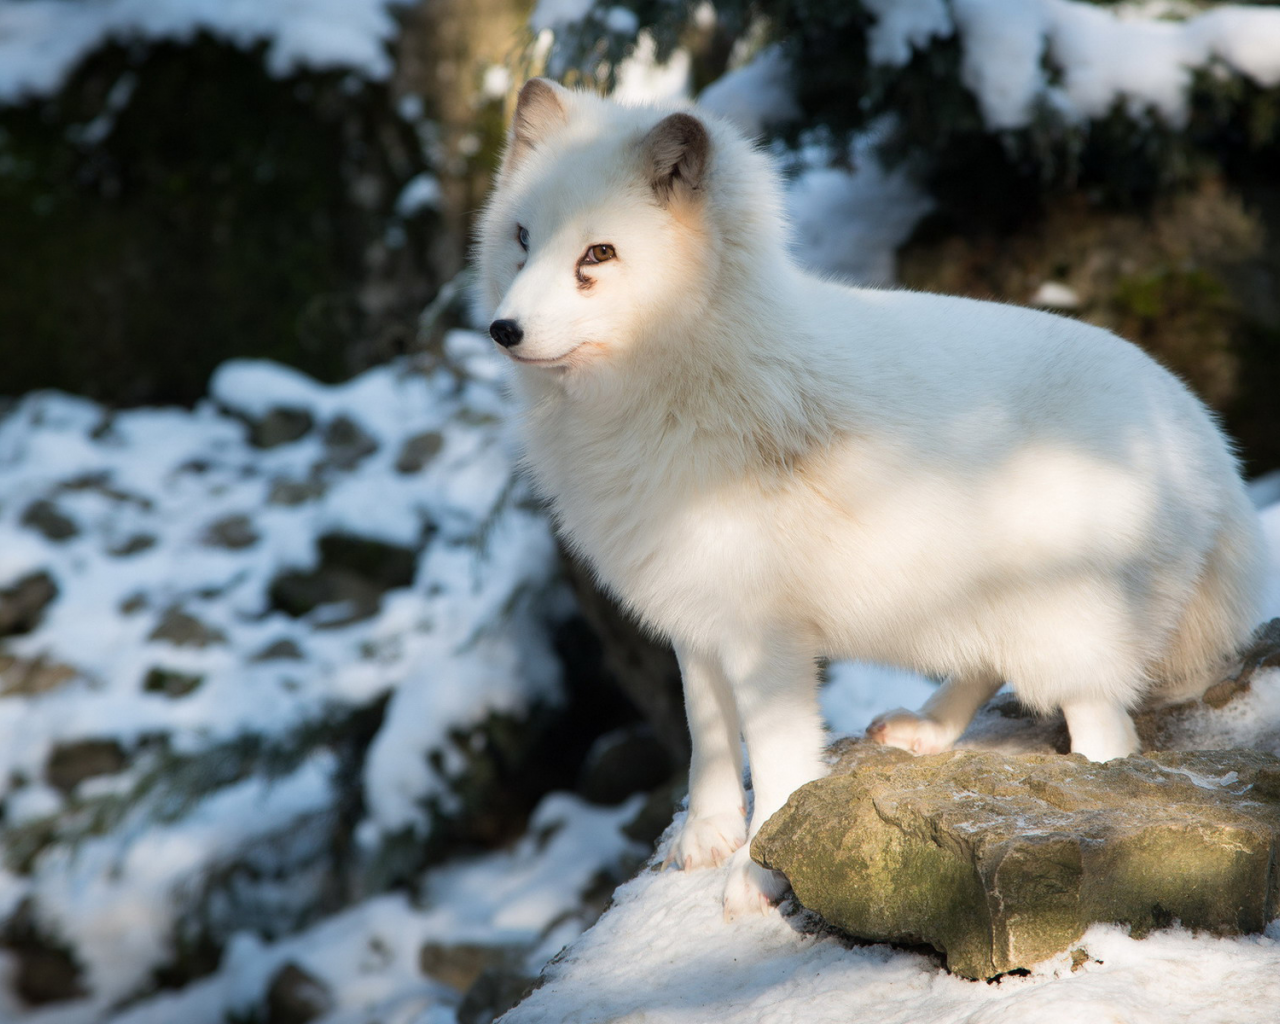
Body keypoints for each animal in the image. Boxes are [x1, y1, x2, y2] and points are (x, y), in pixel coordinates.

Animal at [476, 78, 1264, 911]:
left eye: (597, 254)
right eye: (522, 238)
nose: (503, 329)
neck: (682, 381)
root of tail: (1205, 437)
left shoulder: (767, 637)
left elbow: (778, 760)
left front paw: (758, 873)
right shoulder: (693, 614)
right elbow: (707, 736)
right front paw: (706, 840)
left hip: (1070, 632)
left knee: (1107, 734)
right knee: (986, 666)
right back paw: (925, 730)